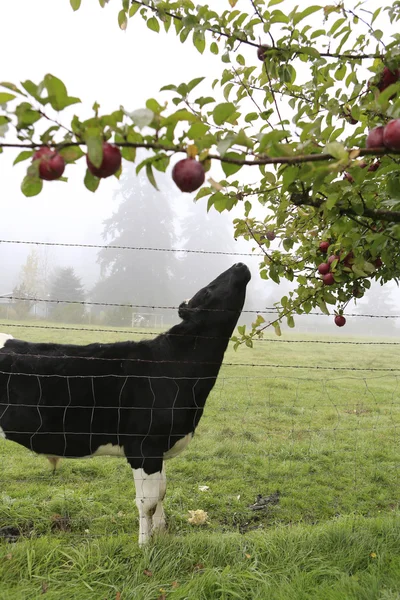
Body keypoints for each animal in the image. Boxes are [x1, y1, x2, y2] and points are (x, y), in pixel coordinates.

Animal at [0, 262, 250, 544]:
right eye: (208, 290)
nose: (240, 264)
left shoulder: (158, 448)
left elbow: (162, 492)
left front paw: (162, 535)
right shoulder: (143, 446)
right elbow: (147, 502)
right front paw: (145, 546)